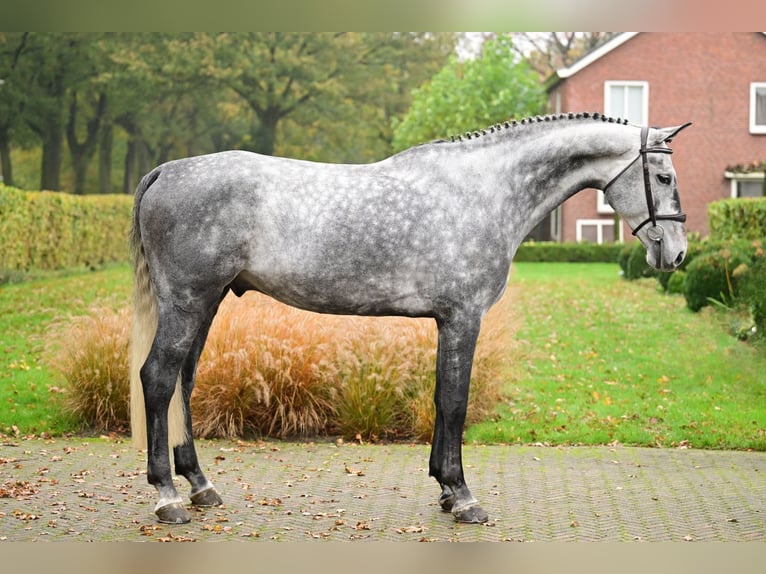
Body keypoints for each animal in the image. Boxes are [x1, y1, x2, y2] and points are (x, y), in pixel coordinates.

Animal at [129, 112, 692, 528]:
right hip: (188, 301)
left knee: (183, 382)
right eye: (664, 177)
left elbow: (443, 398)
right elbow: (456, 402)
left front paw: (444, 487)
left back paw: (200, 487)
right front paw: (463, 497)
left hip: (205, 302)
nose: (677, 254)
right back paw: (168, 498)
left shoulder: (447, 321)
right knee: (158, 378)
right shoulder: (463, 318)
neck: (485, 191)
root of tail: (166, 171)